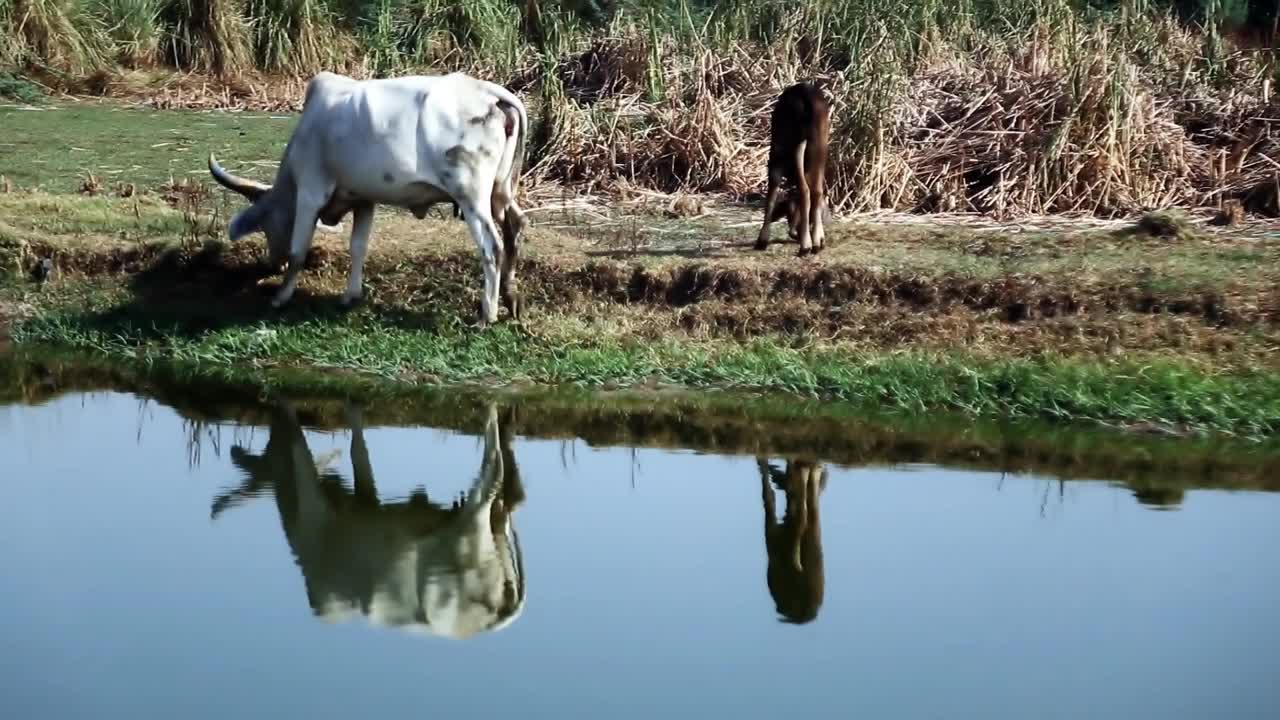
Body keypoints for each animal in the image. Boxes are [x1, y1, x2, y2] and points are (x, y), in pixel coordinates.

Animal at [207, 70, 527, 322]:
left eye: (266, 225)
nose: (274, 263)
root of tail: (487, 91)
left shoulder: (311, 191)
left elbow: (299, 250)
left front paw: (281, 296)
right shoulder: (364, 199)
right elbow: (358, 247)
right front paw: (351, 295)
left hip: (471, 196)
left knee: (492, 246)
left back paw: (487, 314)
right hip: (500, 192)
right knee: (515, 225)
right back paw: (511, 299)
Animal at [752, 81, 834, 254]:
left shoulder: (775, 157)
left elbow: (771, 194)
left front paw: (762, 239)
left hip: (791, 144)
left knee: (805, 190)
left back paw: (805, 244)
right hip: (820, 144)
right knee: (816, 190)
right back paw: (815, 241)